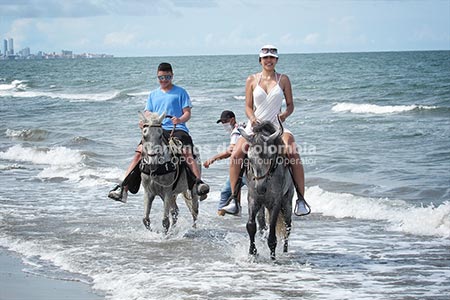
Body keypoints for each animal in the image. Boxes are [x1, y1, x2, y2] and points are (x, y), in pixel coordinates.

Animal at [241, 120, 294, 258]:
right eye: (249, 158)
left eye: (270, 157)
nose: (261, 188)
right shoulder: (253, 199)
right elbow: (251, 225)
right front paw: (252, 252)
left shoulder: (275, 202)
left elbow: (273, 230)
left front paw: (273, 255)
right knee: (262, 224)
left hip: (287, 202)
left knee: (287, 226)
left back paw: (285, 251)